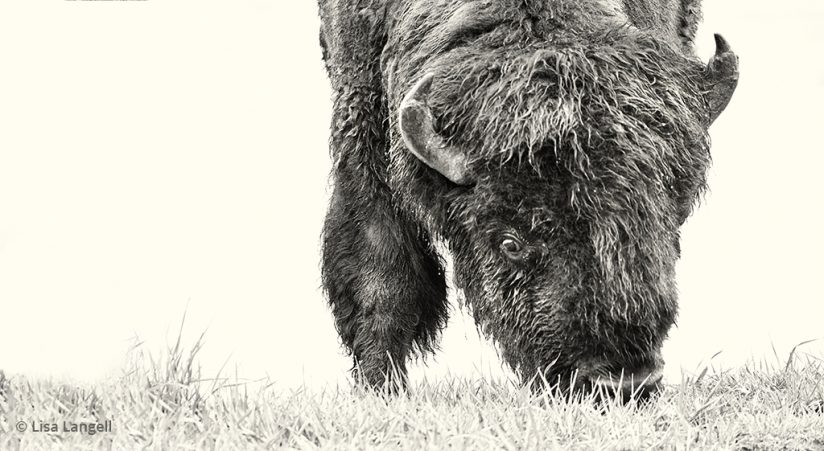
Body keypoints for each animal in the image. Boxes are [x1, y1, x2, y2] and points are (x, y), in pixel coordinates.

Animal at [318, 0, 740, 400]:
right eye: (510, 243)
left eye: (668, 226)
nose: (622, 383)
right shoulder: (363, 123)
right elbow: (382, 278)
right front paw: (382, 390)